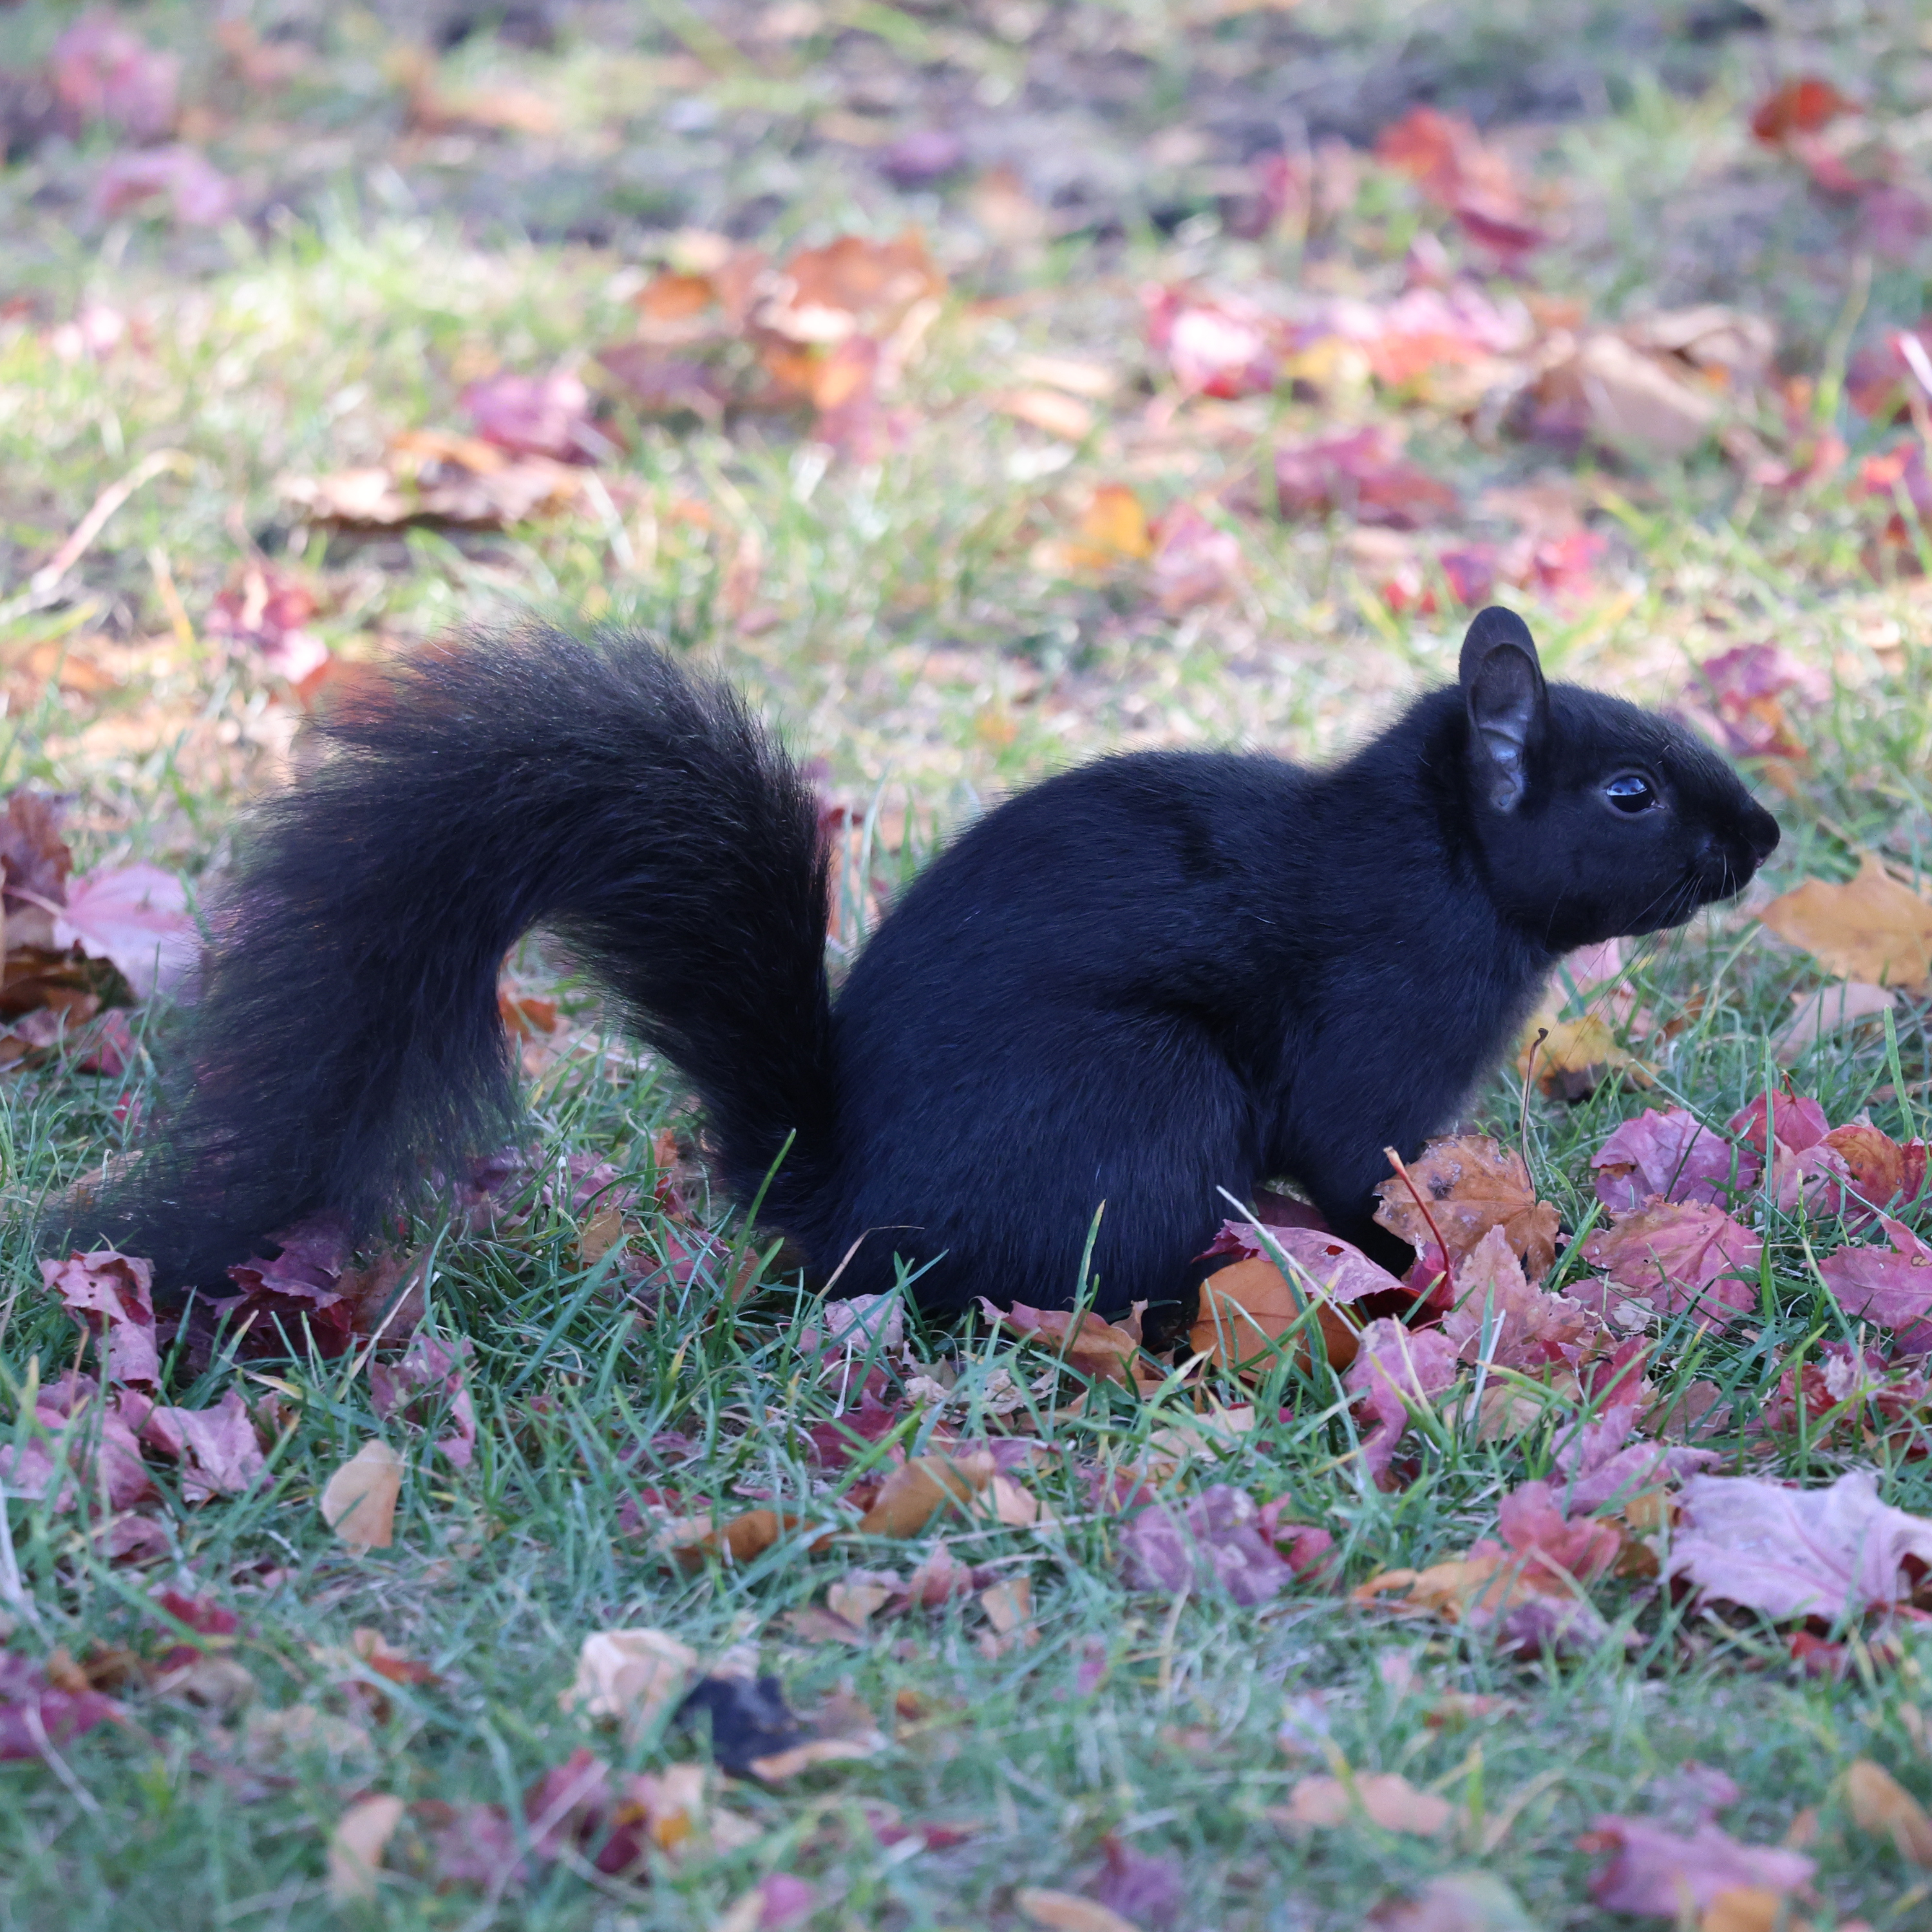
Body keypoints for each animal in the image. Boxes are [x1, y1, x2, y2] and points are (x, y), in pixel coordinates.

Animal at [71, 605, 1778, 1318]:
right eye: (1629, 793)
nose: (1762, 833)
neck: (1445, 863)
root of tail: (835, 1209)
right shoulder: (1377, 1024)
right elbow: (1356, 1157)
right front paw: (1427, 1266)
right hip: (1139, 1093)